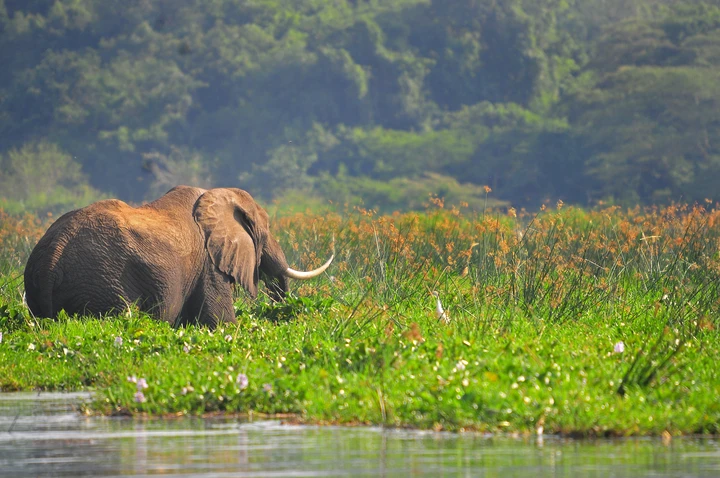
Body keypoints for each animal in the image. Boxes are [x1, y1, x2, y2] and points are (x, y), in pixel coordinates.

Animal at [23, 185, 333, 328]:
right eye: (265, 228)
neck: (215, 195)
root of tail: (52, 257)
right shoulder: (208, 262)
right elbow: (220, 322)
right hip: (103, 282)